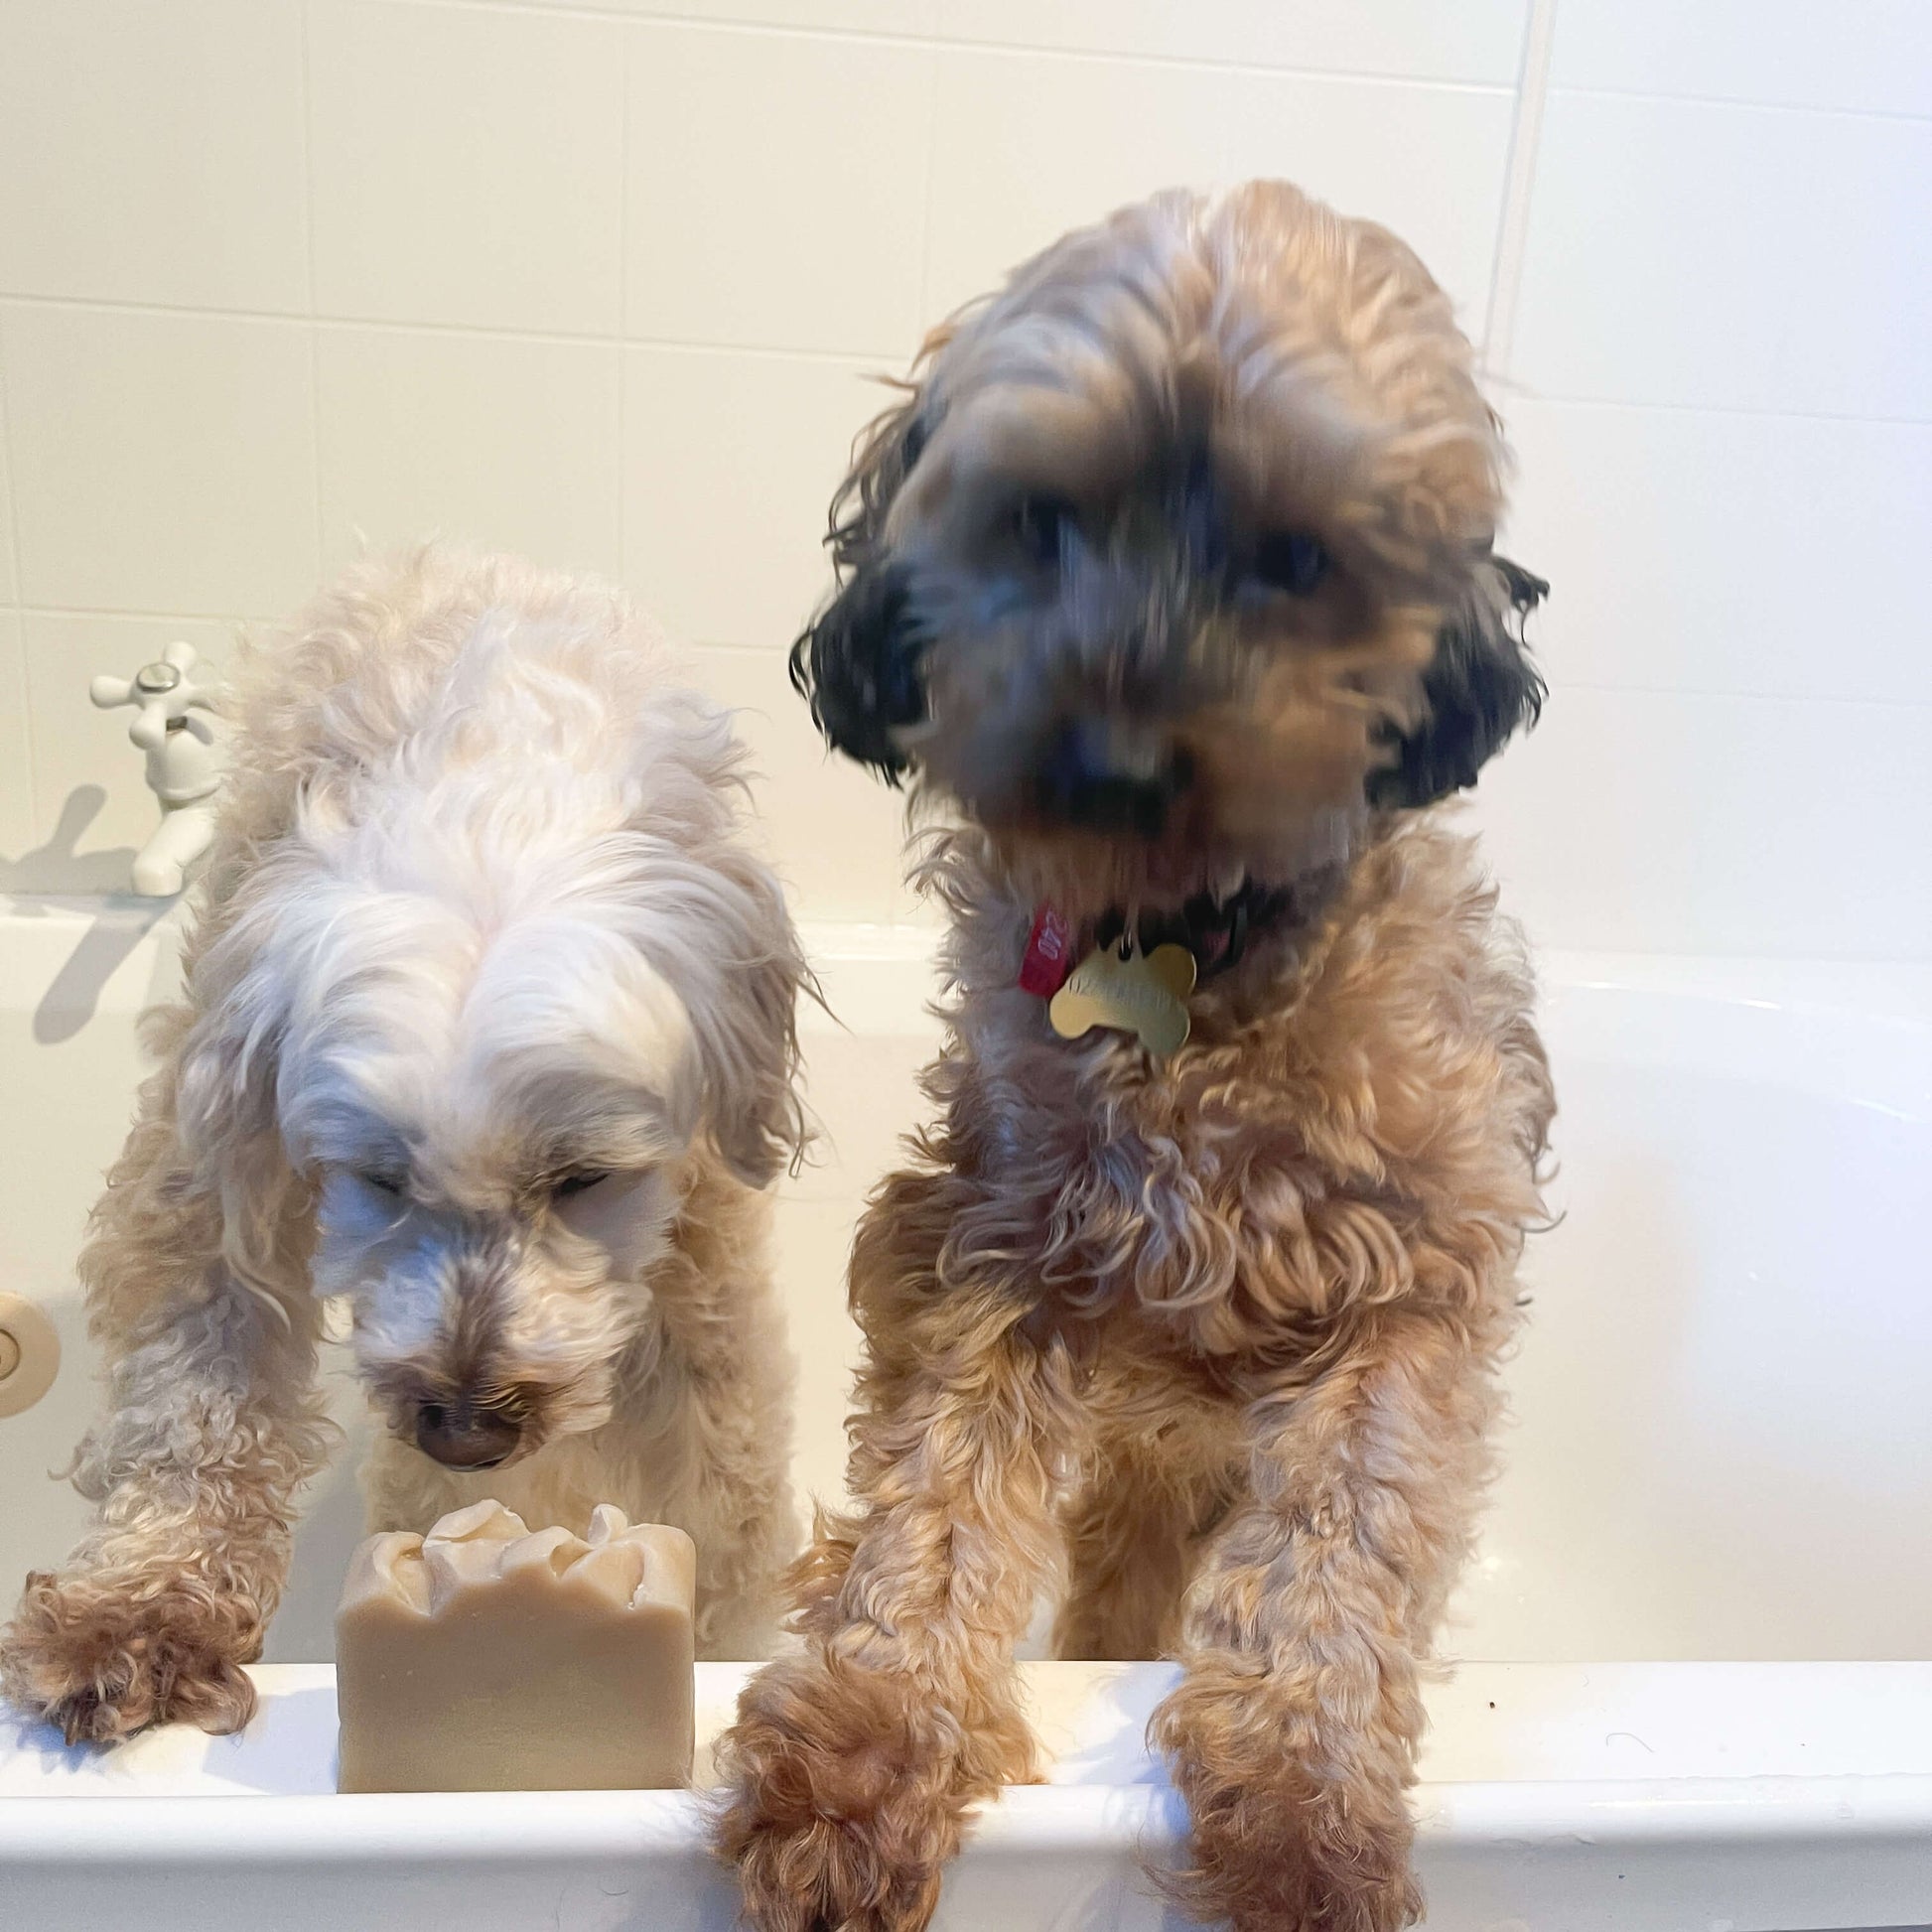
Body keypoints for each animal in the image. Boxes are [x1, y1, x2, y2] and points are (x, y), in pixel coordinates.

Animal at [3, 548, 803, 1753]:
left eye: (583, 1179)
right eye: (377, 1178)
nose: (465, 1432)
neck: (487, 754)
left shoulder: (699, 1238)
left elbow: (714, 1462)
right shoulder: (211, 1147)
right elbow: (197, 1377)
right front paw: (139, 1611)